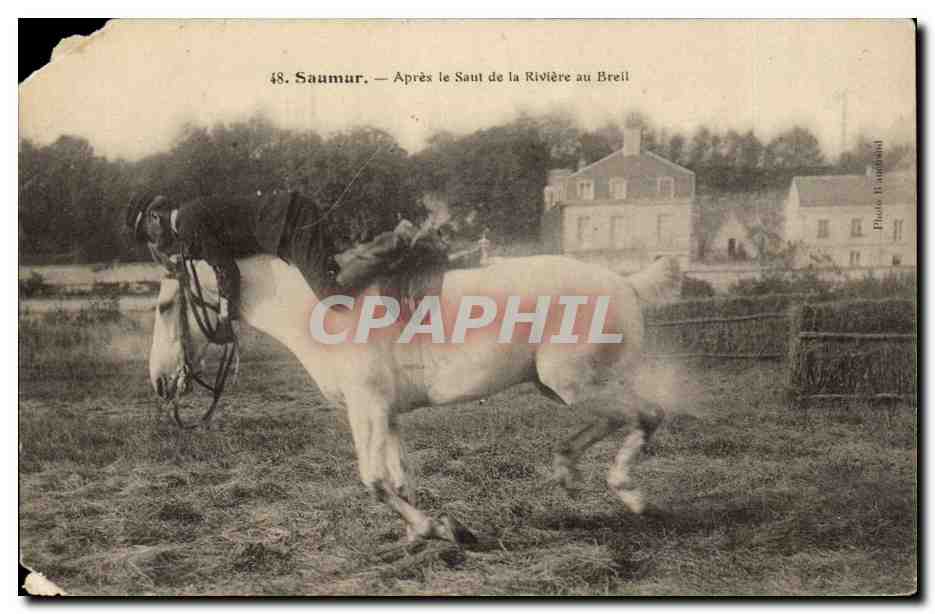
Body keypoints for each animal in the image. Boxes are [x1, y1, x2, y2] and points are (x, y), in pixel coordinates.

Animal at [149, 254, 681, 543]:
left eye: (165, 305)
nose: (160, 382)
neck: (324, 312)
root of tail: (625, 282)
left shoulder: (365, 409)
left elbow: (374, 481)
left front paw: (435, 530)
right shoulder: (386, 414)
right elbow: (400, 480)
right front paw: (438, 530)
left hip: (572, 382)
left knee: (646, 413)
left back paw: (629, 493)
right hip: (556, 386)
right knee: (618, 420)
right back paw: (568, 472)